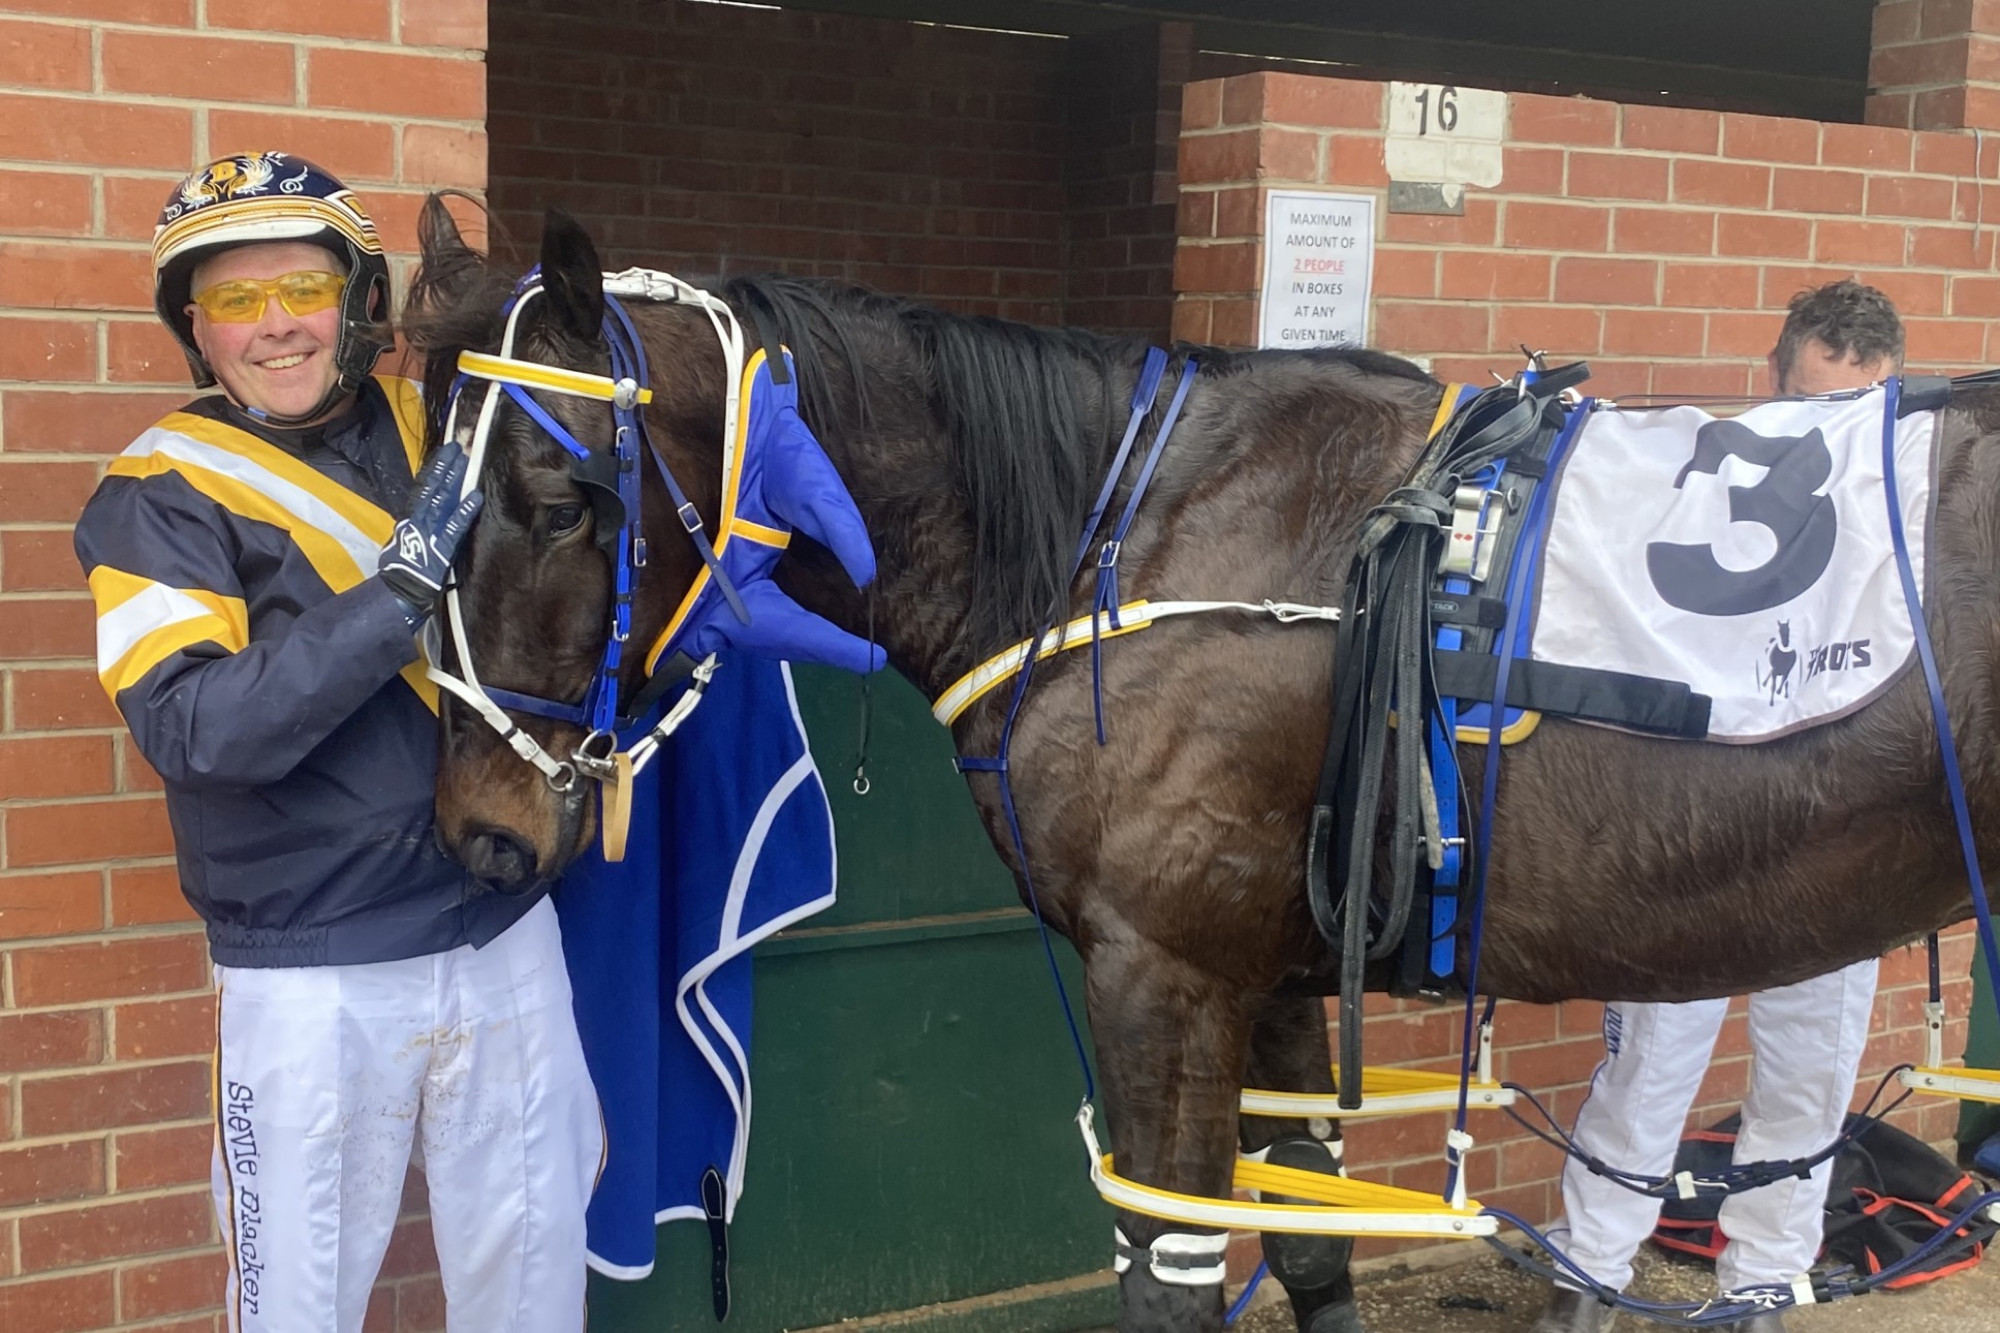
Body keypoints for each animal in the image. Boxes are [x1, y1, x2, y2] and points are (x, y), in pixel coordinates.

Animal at [398, 200, 1992, 1328]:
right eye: (428, 488)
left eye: (560, 499)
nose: (477, 828)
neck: (1140, 527)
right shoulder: (1277, 979)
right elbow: (1309, 1248)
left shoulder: (1161, 976)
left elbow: (1169, 1273)